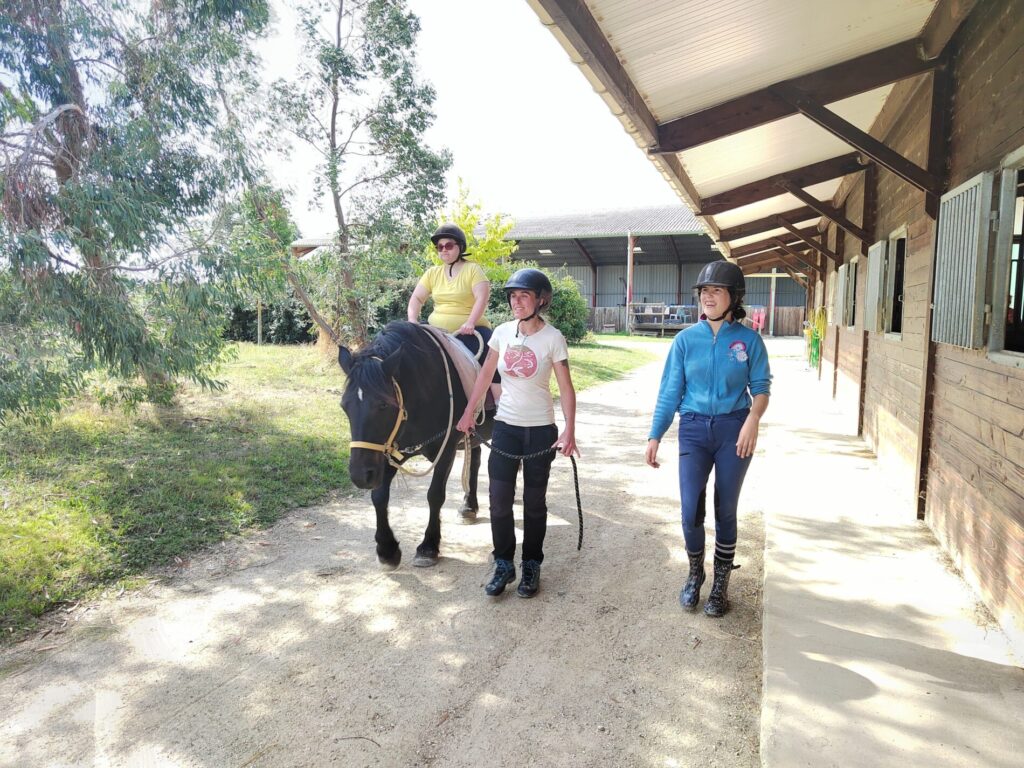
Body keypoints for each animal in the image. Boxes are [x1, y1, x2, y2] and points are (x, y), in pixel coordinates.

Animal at [339, 321, 491, 569]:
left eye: (383, 404)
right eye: (344, 406)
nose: (360, 475)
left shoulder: (446, 449)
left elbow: (435, 495)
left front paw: (428, 546)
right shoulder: (387, 450)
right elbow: (379, 496)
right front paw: (387, 549)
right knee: (475, 462)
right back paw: (469, 506)